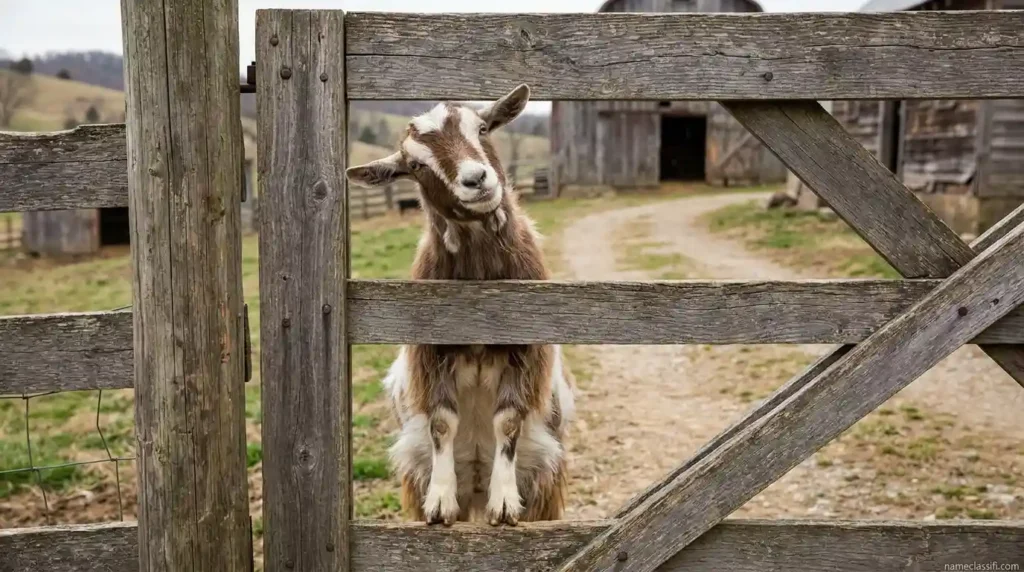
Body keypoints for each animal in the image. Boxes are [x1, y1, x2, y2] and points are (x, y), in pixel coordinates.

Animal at [346, 84, 575, 526]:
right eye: (415, 165)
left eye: (482, 128)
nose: (476, 179)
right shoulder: (432, 350)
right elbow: (441, 423)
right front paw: (440, 500)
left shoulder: (526, 348)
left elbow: (507, 422)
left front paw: (504, 502)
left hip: (544, 479)